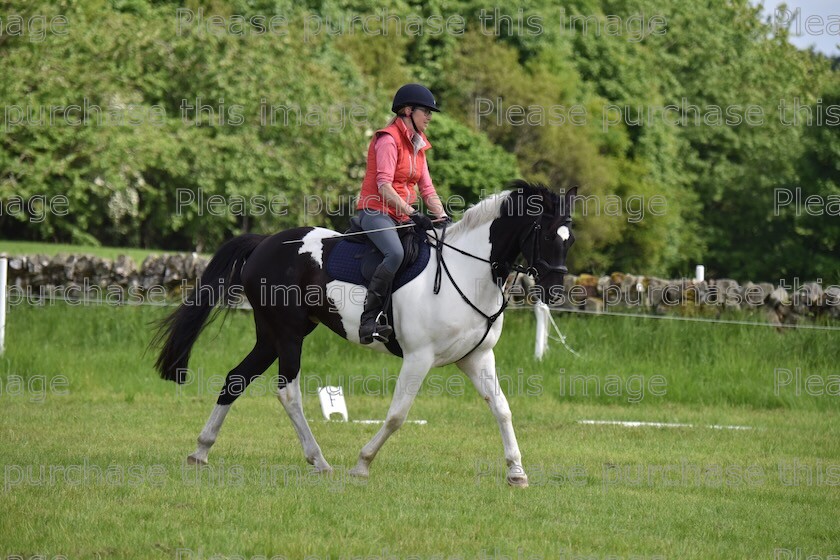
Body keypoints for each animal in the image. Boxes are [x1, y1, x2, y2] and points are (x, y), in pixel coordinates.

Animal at [154, 179, 576, 486]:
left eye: (569, 237)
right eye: (546, 233)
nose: (555, 292)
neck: (467, 271)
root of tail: (266, 242)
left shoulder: (476, 358)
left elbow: (502, 409)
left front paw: (516, 472)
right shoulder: (418, 358)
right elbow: (396, 416)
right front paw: (362, 464)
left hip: (270, 335)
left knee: (236, 379)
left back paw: (201, 451)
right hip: (288, 335)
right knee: (288, 392)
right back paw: (320, 461)